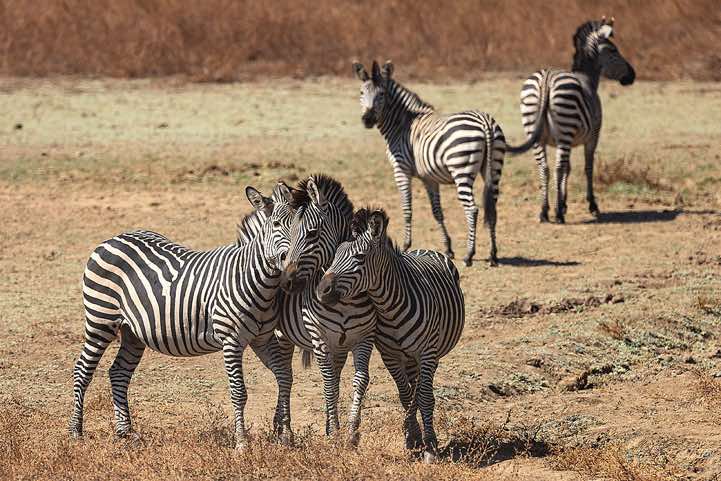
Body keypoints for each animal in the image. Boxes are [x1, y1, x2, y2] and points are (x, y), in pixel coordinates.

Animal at [69, 183, 296, 449]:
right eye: (277, 225)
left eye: (304, 228)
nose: (292, 264)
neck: (254, 279)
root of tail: (113, 239)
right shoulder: (231, 340)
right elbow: (239, 391)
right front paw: (241, 443)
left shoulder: (263, 338)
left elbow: (284, 377)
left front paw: (286, 435)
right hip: (100, 320)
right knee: (82, 370)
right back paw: (76, 432)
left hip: (132, 332)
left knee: (118, 372)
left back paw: (126, 432)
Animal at [276, 174, 377, 445]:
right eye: (289, 233)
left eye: (312, 233)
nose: (285, 283)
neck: (344, 299)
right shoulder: (319, 339)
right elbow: (329, 383)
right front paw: (334, 432)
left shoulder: (364, 338)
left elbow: (359, 379)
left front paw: (351, 433)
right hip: (281, 337)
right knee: (284, 377)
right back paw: (285, 431)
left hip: (339, 346)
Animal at [317, 208, 465, 463]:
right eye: (334, 256)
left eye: (360, 258)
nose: (321, 290)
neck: (389, 308)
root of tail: (422, 249)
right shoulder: (390, 355)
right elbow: (405, 395)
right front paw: (412, 437)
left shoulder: (427, 353)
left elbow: (424, 397)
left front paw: (430, 447)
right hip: (409, 358)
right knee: (414, 387)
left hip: (430, 354)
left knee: (423, 389)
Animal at [352, 60, 536, 267]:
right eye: (361, 92)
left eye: (382, 94)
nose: (367, 120)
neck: (403, 124)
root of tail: (484, 122)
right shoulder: (429, 178)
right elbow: (437, 211)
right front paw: (448, 247)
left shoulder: (401, 169)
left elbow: (407, 208)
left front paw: (406, 244)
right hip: (494, 168)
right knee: (492, 209)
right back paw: (493, 255)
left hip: (461, 170)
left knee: (472, 210)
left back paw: (469, 254)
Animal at [513, 17, 635, 223]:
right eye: (614, 50)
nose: (633, 75)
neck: (588, 79)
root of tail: (546, 79)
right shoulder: (593, 136)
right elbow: (587, 167)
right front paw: (591, 205)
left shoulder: (568, 140)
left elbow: (568, 169)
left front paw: (563, 203)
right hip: (564, 128)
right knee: (556, 168)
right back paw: (557, 214)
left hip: (536, 131)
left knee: (545, 167)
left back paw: (544, 211)